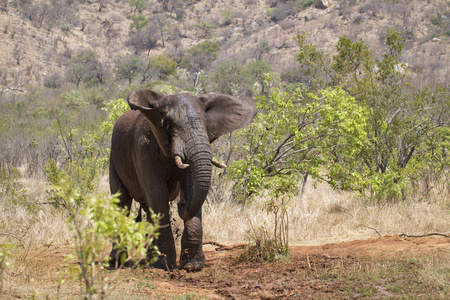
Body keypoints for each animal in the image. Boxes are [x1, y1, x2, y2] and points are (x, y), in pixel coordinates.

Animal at [109, 88, 256, 270]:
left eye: (206, 124)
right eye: (169, 124)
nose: (181, 204)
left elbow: (190, 187)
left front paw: (193, 265)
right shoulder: (142, 148)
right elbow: (157, 194)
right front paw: (165, 266)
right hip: (113, 160)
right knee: (121, 203)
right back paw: (117, 262)